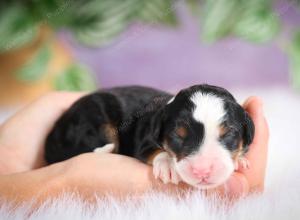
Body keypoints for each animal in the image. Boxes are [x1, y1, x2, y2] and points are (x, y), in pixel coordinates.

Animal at [45, 84, 254, 189]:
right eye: (178, 136)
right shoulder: (143, 139)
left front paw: (240, 160)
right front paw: (168, 165)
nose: (202, 172)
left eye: (229, 134)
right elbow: (154, 150)